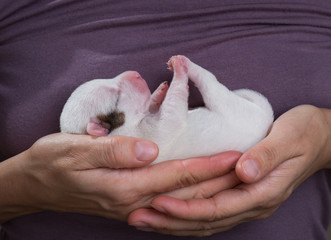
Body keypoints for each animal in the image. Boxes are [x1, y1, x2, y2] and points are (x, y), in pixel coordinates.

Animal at [61, 54, 274, 163]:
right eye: (116, 97)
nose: (136, 73)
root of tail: (266, 118)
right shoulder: (154, 135)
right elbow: (173, 110)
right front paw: (178, 77)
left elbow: (154, 106)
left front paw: (158, 93)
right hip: (227, 104)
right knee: (210, 82)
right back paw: (185, 64)